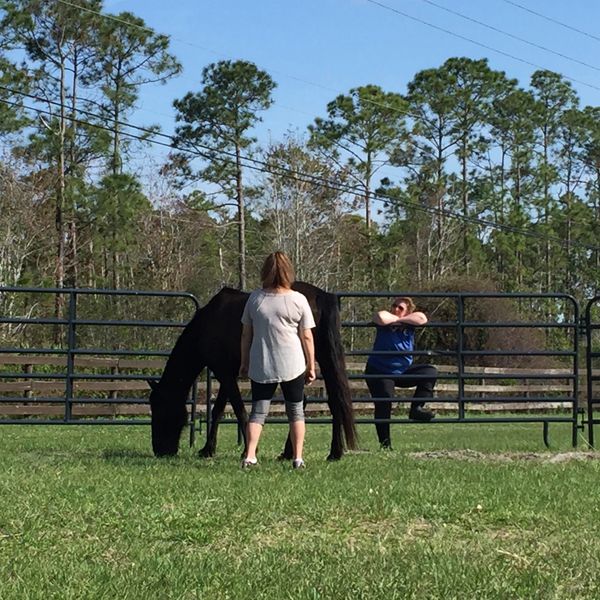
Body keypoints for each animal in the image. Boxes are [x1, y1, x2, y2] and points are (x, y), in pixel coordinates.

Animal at [148, 284, 358, 462]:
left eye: (159, 408)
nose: (160, 450)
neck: (207, 325)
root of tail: (320, 296)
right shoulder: (227, 372)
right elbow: (218, 410)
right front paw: (208, 449)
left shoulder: (223, 371)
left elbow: (238, 408)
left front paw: (248, 450)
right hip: (323, 359)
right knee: (333, 402)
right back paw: (331, 452)